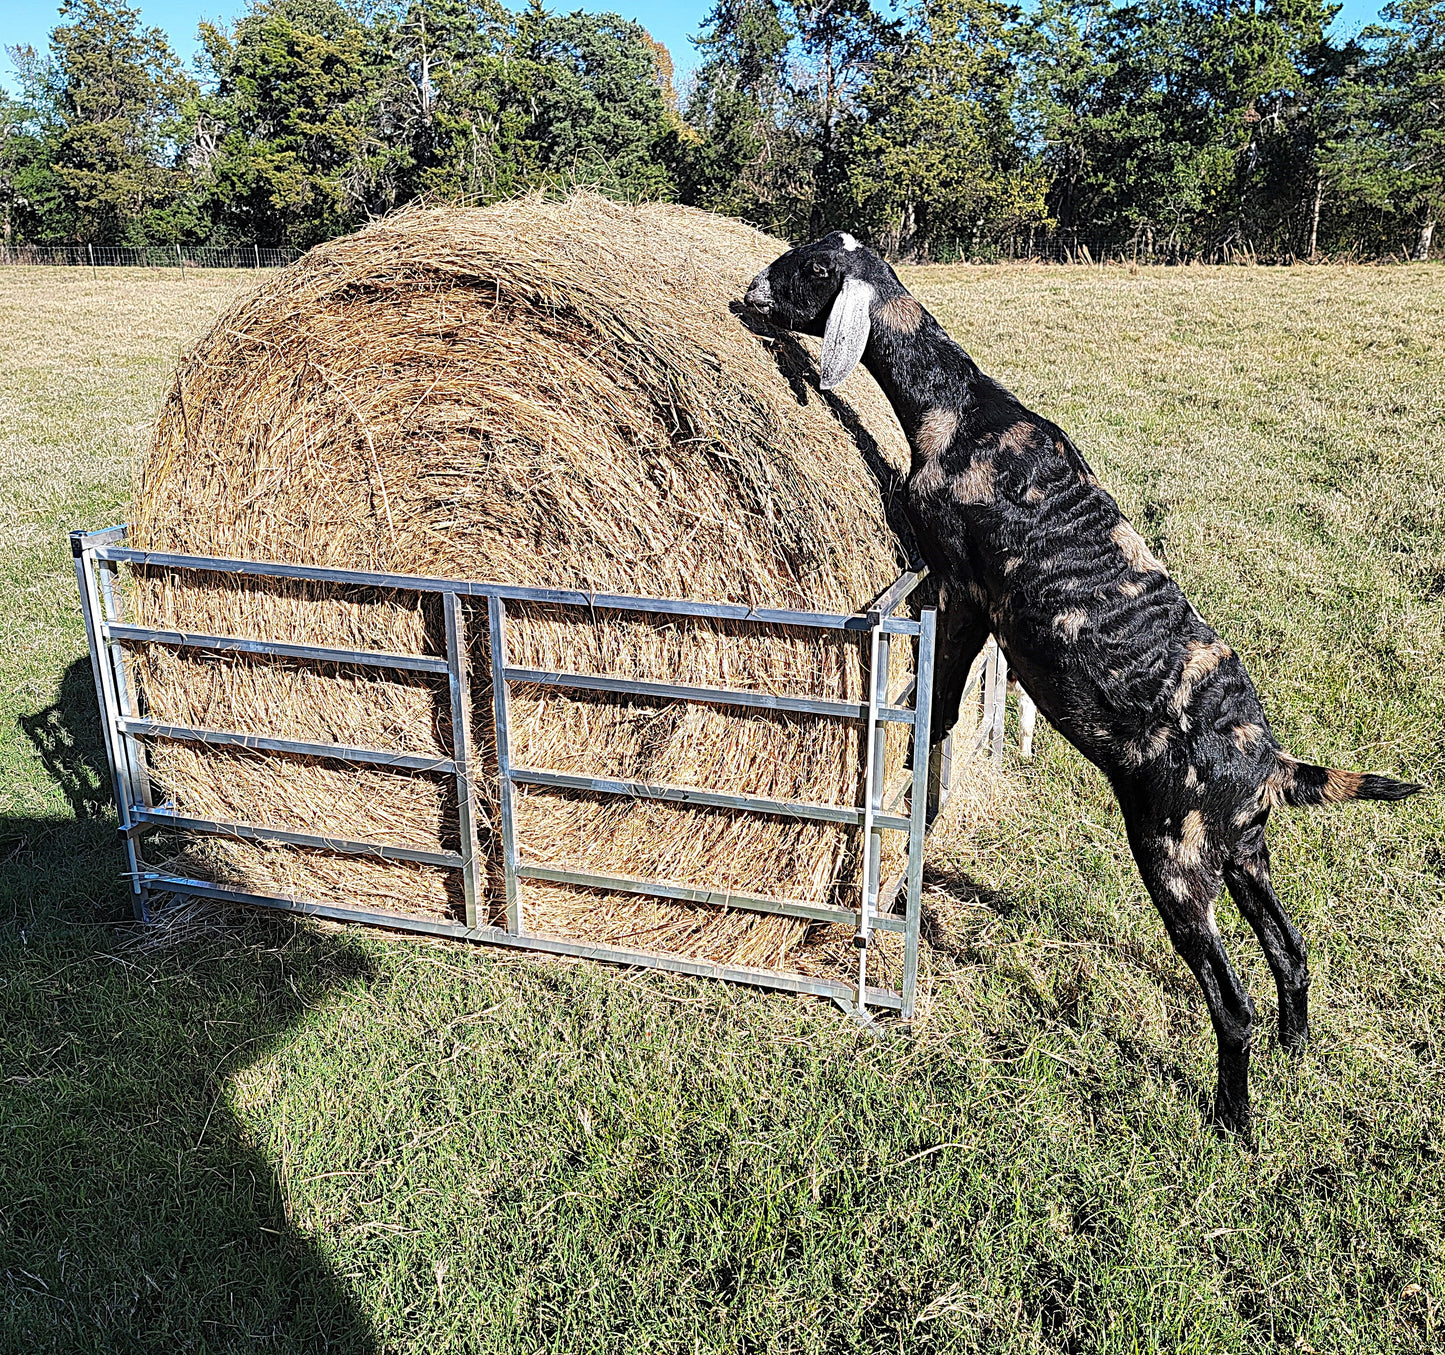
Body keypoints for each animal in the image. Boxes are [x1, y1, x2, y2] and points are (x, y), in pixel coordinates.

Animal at [744, 232, 1423, 1144]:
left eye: (813, 269)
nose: (748, 290)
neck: (961, 412)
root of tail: (1270, 762)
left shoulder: (965, 589)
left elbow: (947, 697)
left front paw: (922, 757)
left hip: (1175, 855)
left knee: (1230, 1000)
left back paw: (1232, 1120)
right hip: (1243, 851)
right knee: (1291, 950)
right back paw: (1296, 1050)